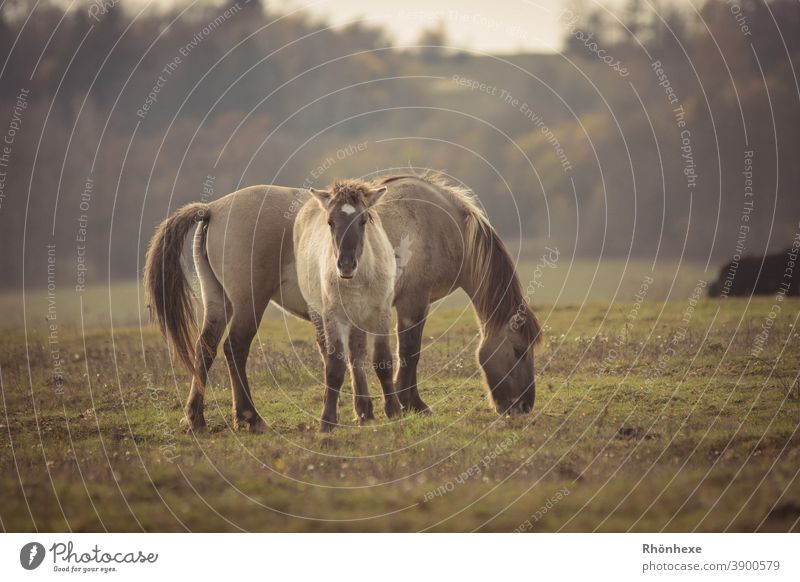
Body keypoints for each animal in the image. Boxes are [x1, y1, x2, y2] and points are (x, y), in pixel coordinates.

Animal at [144, 173, 544, 434]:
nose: (525, 406)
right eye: (519, 350)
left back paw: (195, 419)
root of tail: (212, 208)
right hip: (248, 304)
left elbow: (359, 356)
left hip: (219, 303)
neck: (442, 222)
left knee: (206, 350)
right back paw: (250, 417)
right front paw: (411, 404)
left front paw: (365, 410)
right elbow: (408, 353)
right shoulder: (412, 305)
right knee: (235, 350)